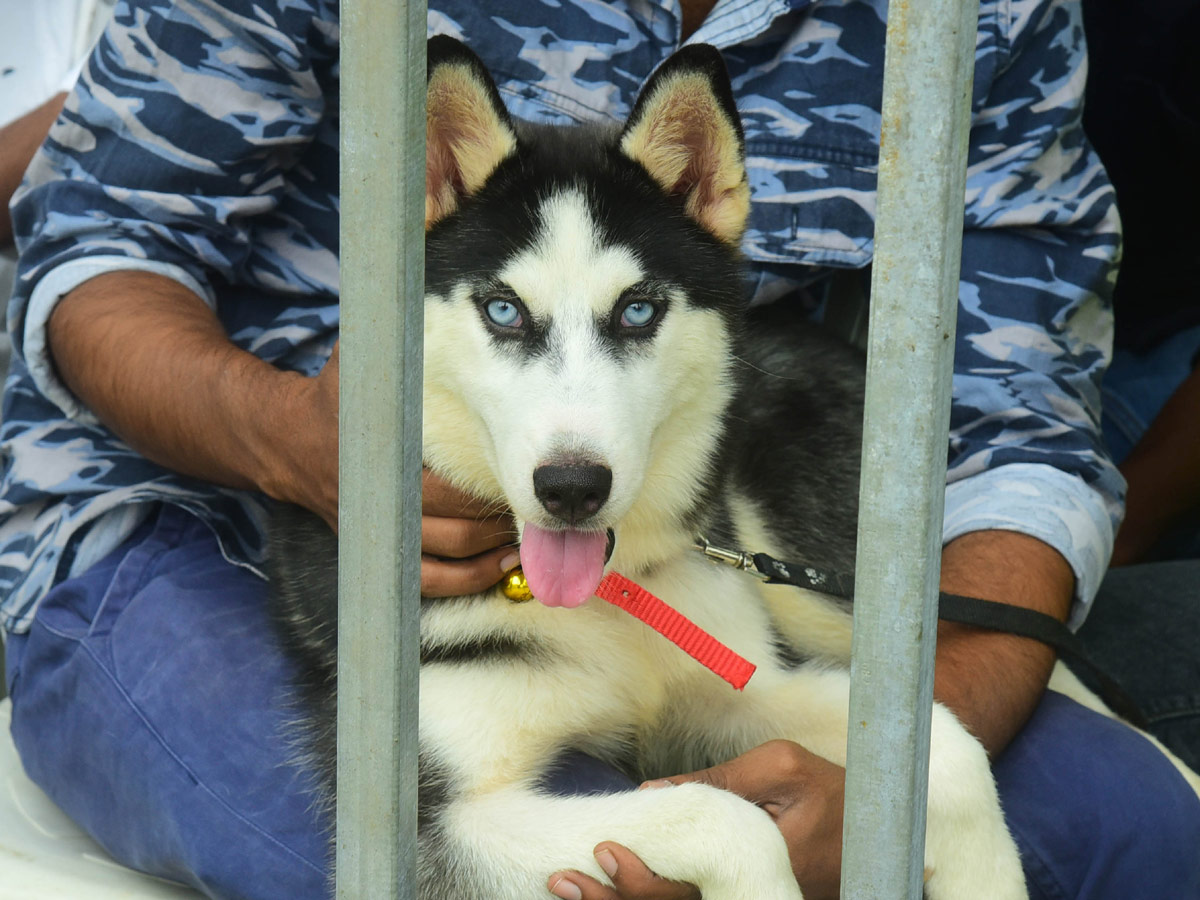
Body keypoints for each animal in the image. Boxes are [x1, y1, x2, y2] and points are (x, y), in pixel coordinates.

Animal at [265, 35, 1190, 900]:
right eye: (502, 310)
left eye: (638, 311)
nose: (571, 488)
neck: (609, 604)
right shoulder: (427, 821)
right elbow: (726, 815)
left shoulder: (736, 683)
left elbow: (946, 743)